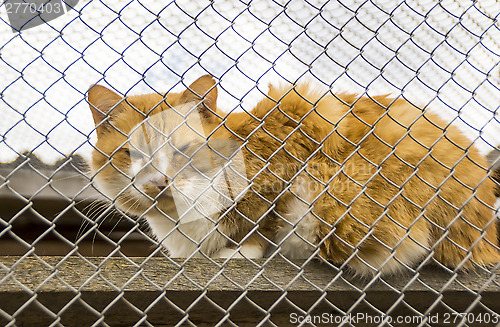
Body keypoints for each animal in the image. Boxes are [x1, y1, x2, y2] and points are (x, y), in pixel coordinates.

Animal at [88, 74, 498, 276]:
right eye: (133, 153)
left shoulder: (293, 143)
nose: (160, 181)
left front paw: (240, 251)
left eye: (182, 150)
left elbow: (262, 223)